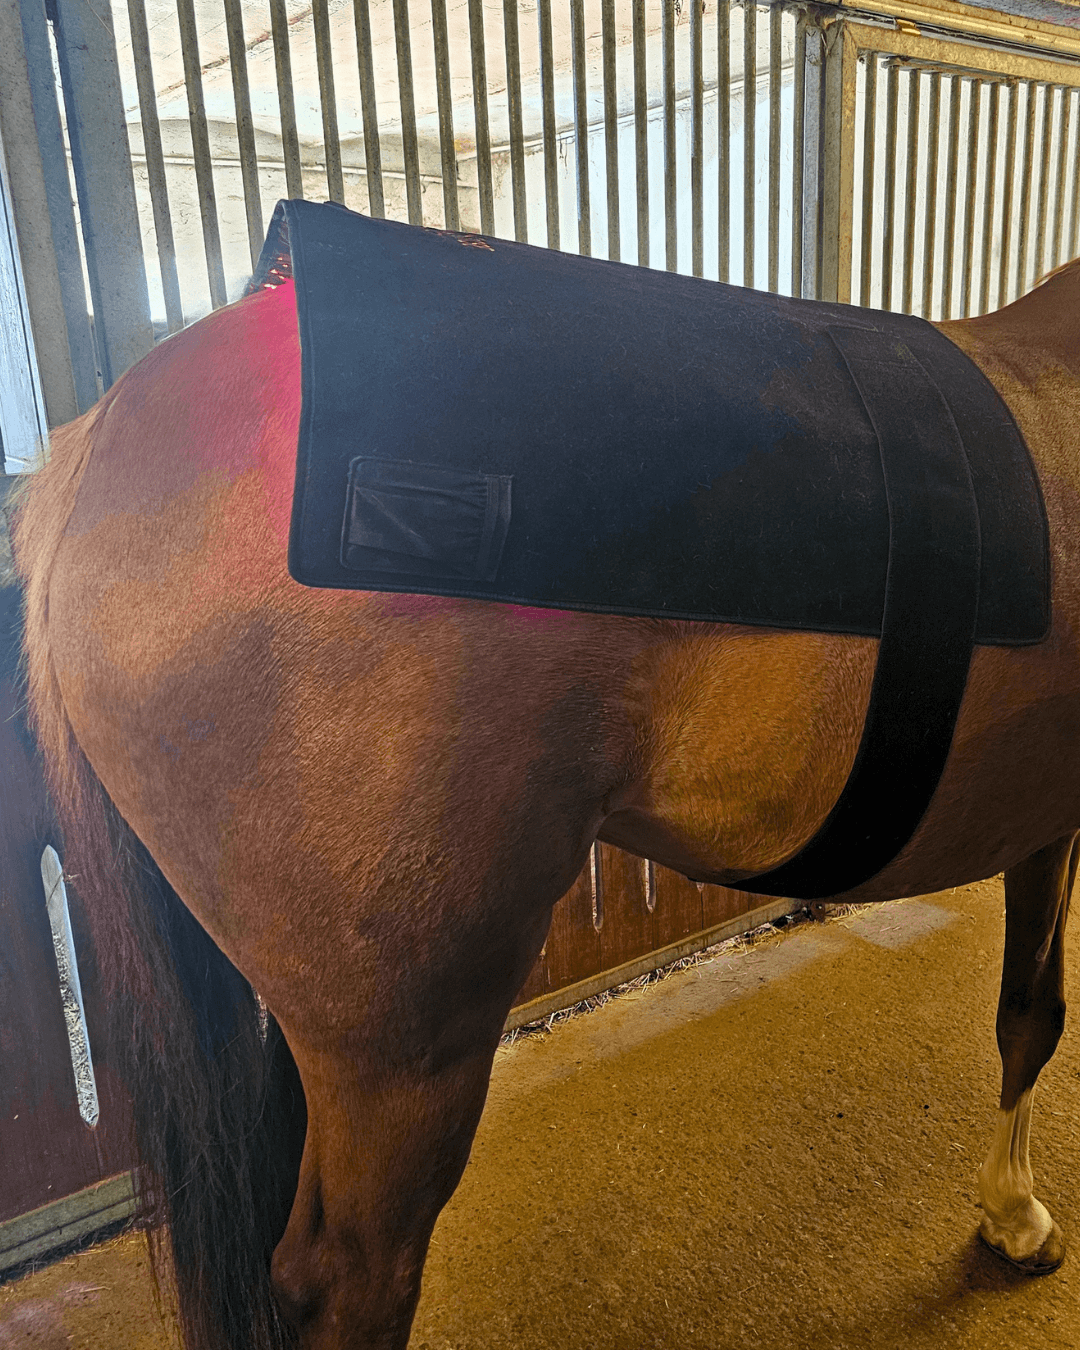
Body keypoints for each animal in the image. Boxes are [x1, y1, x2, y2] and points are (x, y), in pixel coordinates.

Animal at [10, 246, 1080, 1350]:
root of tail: (91, 460)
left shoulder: (1044, 825)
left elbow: (1023, 1009)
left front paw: (1008, 1209)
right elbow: (1040, 1014)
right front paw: (1020, 1213)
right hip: (404, 1063)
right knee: (351, 1278)